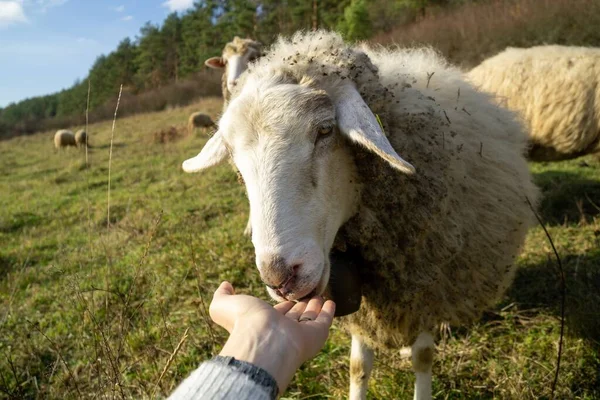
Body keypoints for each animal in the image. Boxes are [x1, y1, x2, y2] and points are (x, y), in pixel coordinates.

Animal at [183, 32, 540, 400]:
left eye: (325, 130)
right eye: (232, 155)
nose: (280, 277)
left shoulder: (426, 281)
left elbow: (423, 357)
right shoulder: (363, 306)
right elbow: (358, 366)